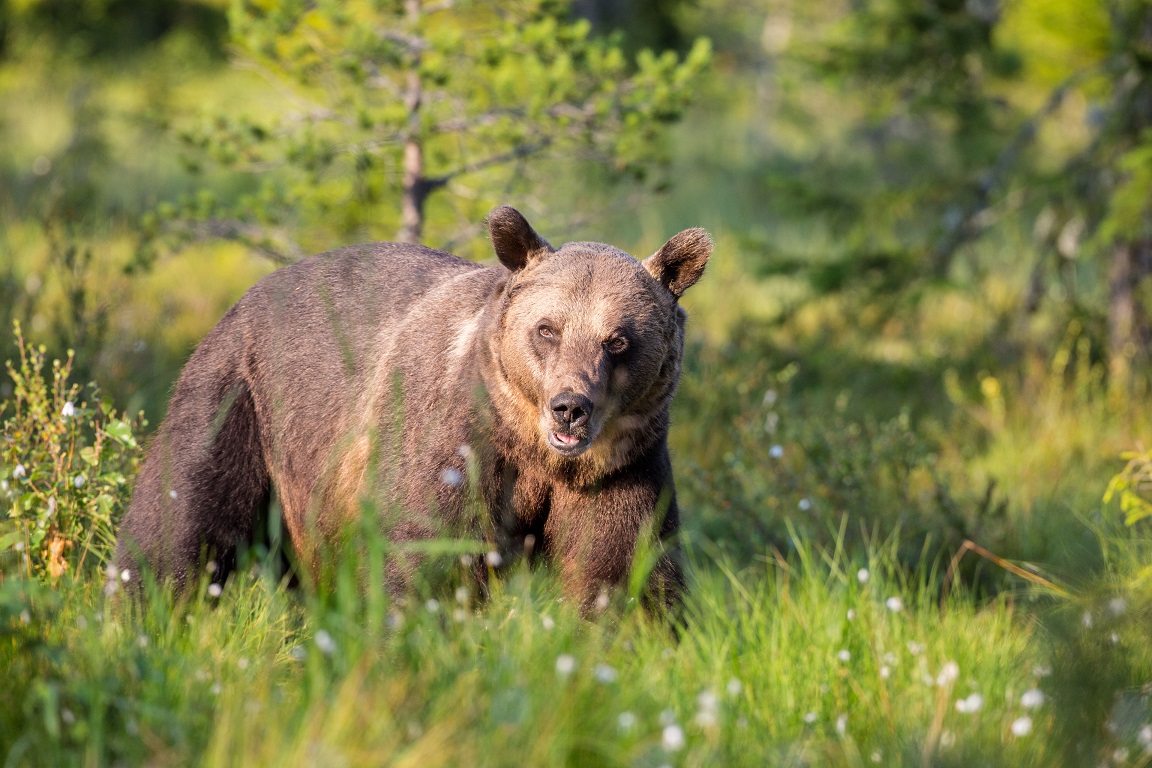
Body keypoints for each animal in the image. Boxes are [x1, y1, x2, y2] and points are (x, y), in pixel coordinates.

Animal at [116, 207, 709, 617]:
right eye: (548, 329)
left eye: (618, 340)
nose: (570, 409)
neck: (532, 449)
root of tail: (246, 294)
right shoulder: (449, 445)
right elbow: (423, 555)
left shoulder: (620, 471)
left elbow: (622, 574)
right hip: (243, 399)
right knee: (180, 514)